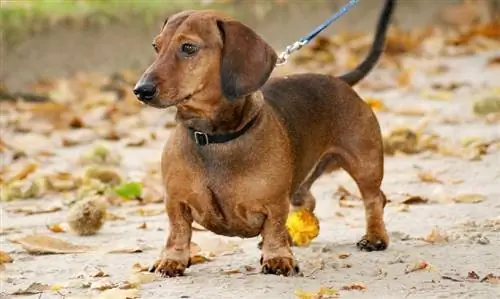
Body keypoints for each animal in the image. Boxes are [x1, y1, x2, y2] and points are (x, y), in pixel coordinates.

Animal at [135, 0, 396, 278]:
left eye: (188, 47)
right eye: (156, 46)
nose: (140, 90)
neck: (214, 138)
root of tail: (339, 80)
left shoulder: (274, 203)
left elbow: (274, 228)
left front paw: (278, 257)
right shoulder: (175, 202)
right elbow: (178, 232)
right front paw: (172, 260)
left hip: (365, 163)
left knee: (374, 198)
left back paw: (375, 237)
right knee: (308, 201)